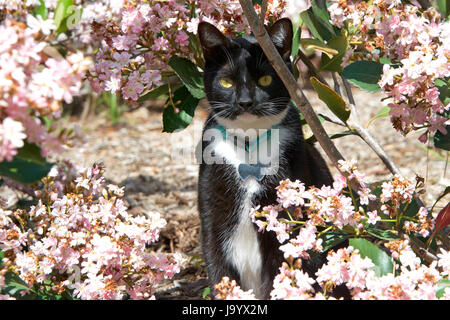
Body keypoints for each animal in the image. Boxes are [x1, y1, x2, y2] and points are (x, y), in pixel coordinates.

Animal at [197, 18, 348, 300]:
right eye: (227, 82)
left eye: (266, 79)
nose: (245, 102)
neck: (249, 147)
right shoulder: (212, 215)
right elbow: (218, 270)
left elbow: (278, 278)